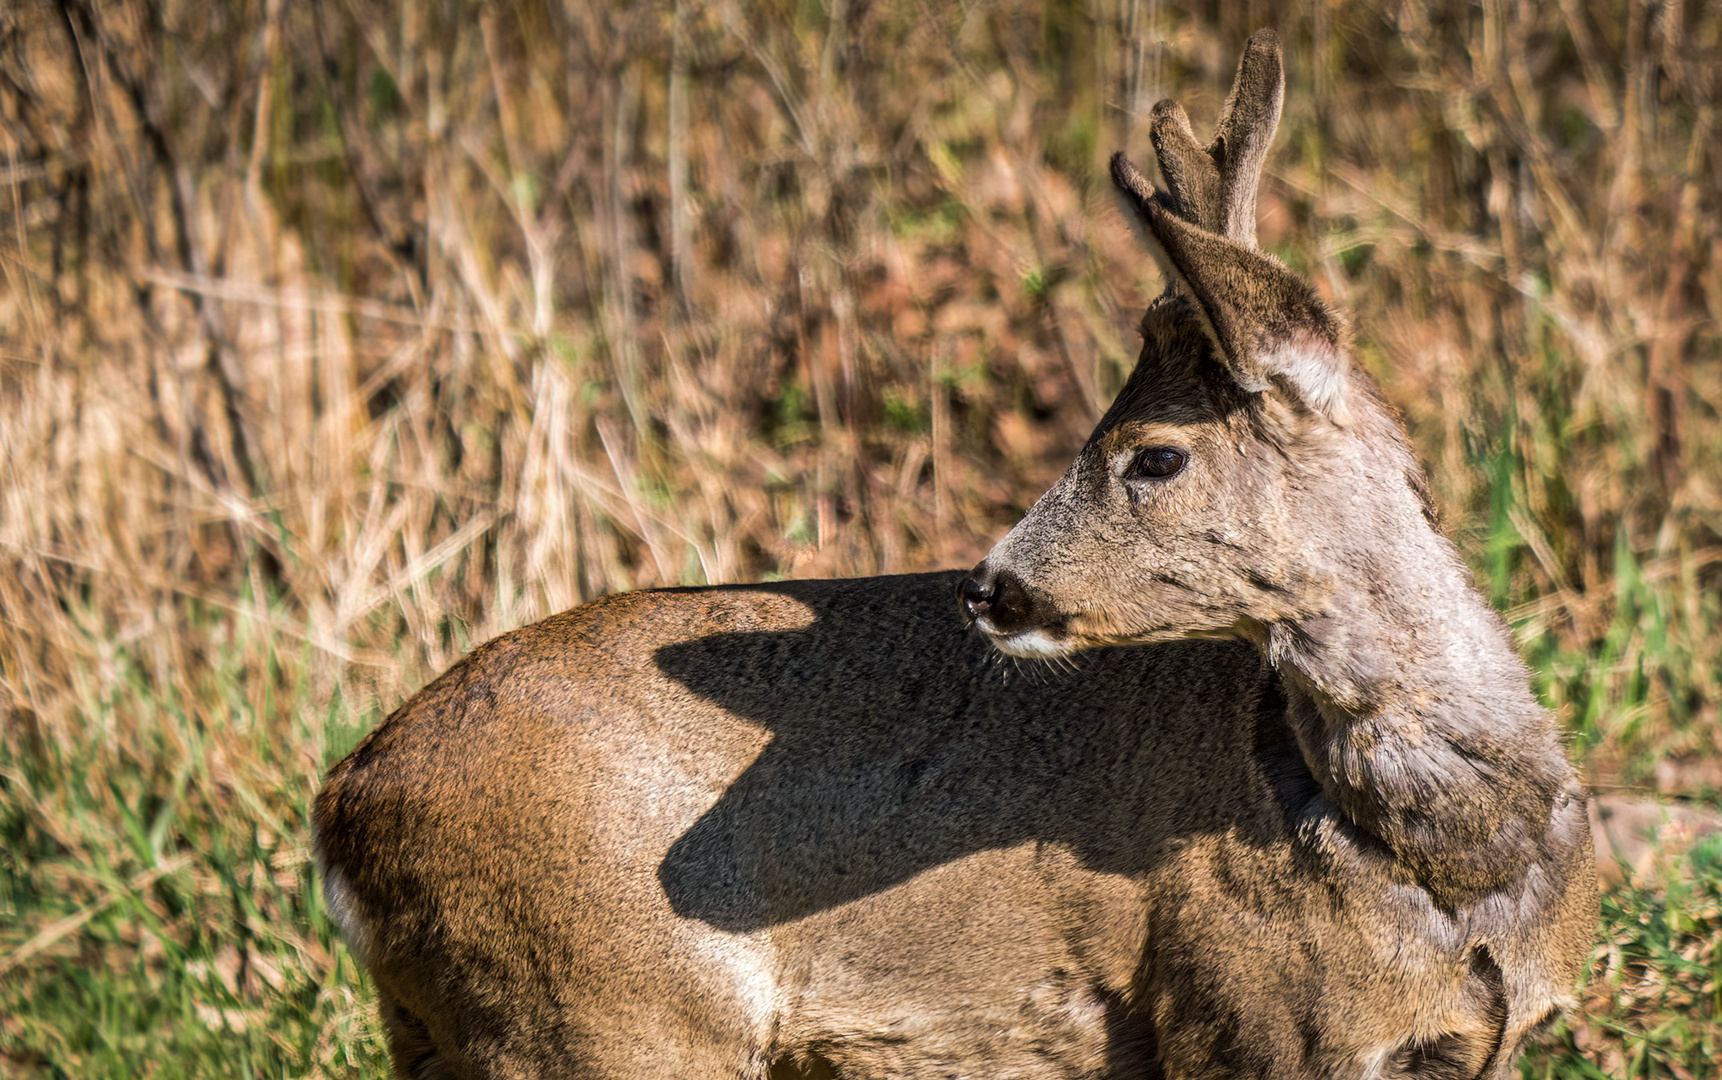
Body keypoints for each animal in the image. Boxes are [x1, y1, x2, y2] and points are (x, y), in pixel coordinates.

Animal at [313, 29, 1598, 1074]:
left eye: (1154, 456)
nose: (989, 587)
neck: (1454, 864)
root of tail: (349, 799)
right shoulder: (1241, 1016)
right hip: (597, 1011)